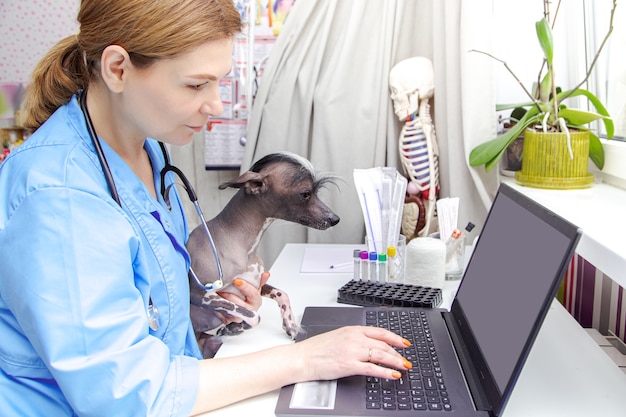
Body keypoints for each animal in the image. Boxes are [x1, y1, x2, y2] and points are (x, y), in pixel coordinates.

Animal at [186, 153, 338, 358]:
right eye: (306, 193)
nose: (335, 219)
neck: (244, 247)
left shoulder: (257, 284)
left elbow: (283, 294)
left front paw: (291, 324)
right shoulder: (199, 294)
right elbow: (254, 316)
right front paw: (232, 328)